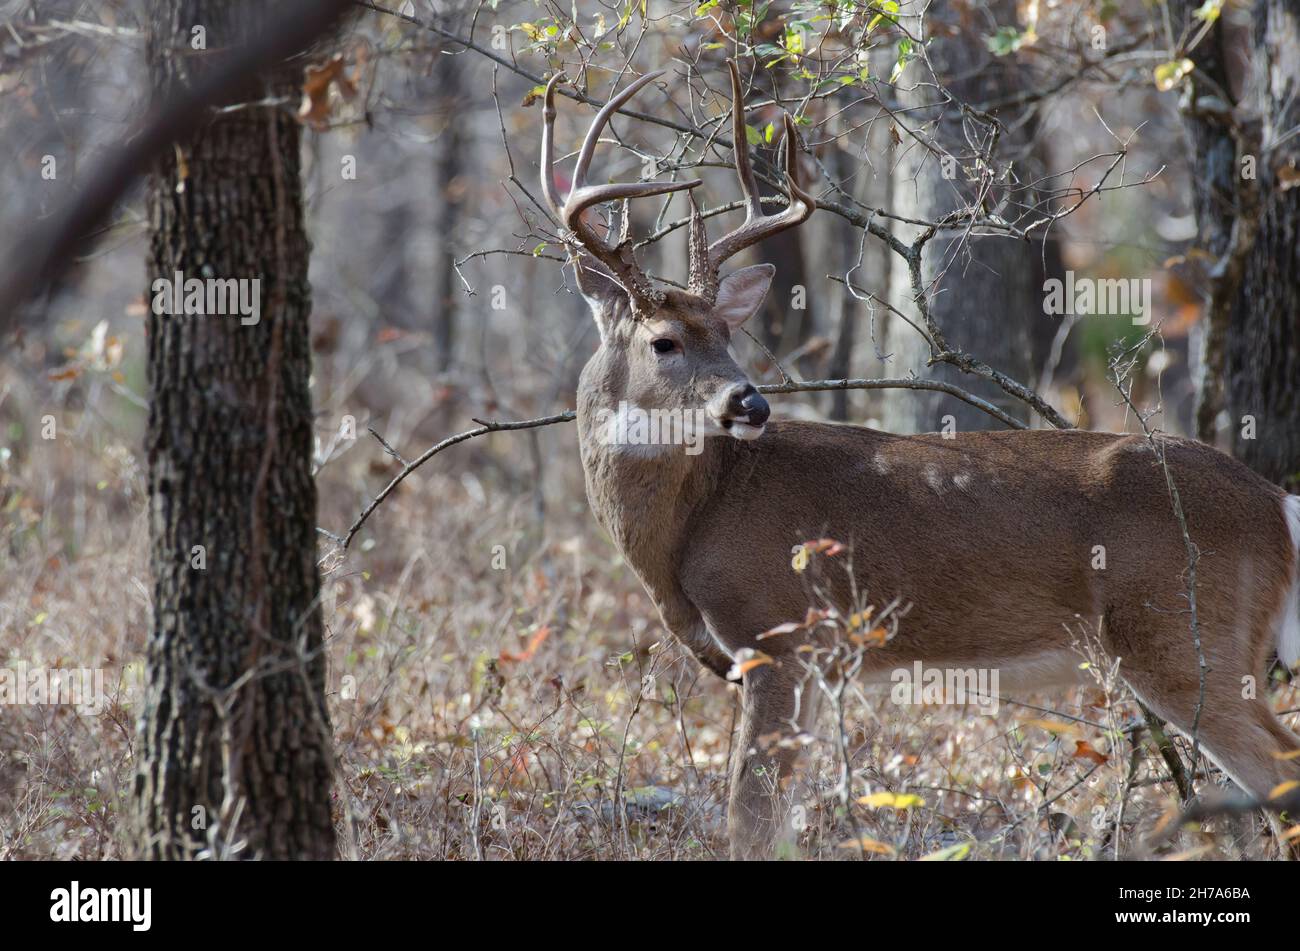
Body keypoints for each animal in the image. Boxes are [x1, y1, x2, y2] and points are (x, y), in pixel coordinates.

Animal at [539, 62, 1300, 859]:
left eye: (726, 332)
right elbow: (782, 812)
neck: (691, 526)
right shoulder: (816, 665)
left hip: (1182, 635)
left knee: (1281, 767)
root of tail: (1277, 503)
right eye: (665, 340)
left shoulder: (779, 636)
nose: (750, 402)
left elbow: (749, 814)